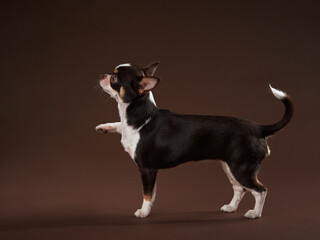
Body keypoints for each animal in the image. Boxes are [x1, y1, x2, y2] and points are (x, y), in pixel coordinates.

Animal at [96, 62, 294, 219]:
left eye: (114, 78)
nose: (101, 74)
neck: (139, 115)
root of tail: (258, 128)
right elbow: (120, 126)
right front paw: (104, 126)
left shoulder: (147, 169)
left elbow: (147, 193)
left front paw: (143, 212)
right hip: (230, 167)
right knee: (240, 189)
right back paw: (231, 207)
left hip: (242, 169)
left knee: (260, 190)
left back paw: (255, 213)